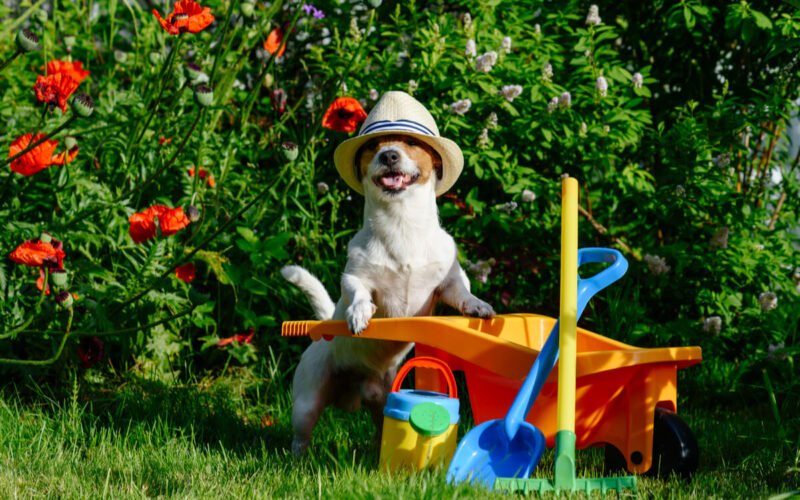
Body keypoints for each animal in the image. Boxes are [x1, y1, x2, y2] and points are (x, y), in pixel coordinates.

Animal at [282, 91, 494, 458]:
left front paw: (477, 306)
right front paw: (359, 313)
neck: (401, 225)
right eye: (374, 145)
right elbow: (358, 292)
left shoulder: (448, 283)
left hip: (381, 402)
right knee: (300, 436)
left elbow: (463, 292)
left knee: (380, 429)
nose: (389, 154)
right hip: (307, 403)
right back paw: (298, 459)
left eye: (410, 142)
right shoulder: (356, 276)